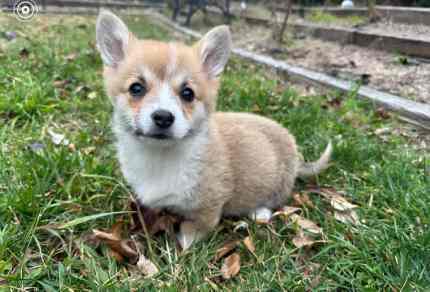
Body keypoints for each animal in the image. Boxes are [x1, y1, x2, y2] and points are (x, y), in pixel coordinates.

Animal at [96, 10, 332, 249]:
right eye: (136, 88)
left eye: (188, 93)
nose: (163, 117)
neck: (161, 155)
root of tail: (294, 148)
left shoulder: (209, 205)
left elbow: (198, 225)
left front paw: (186, 242)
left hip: (278, 185)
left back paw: (260, 212)